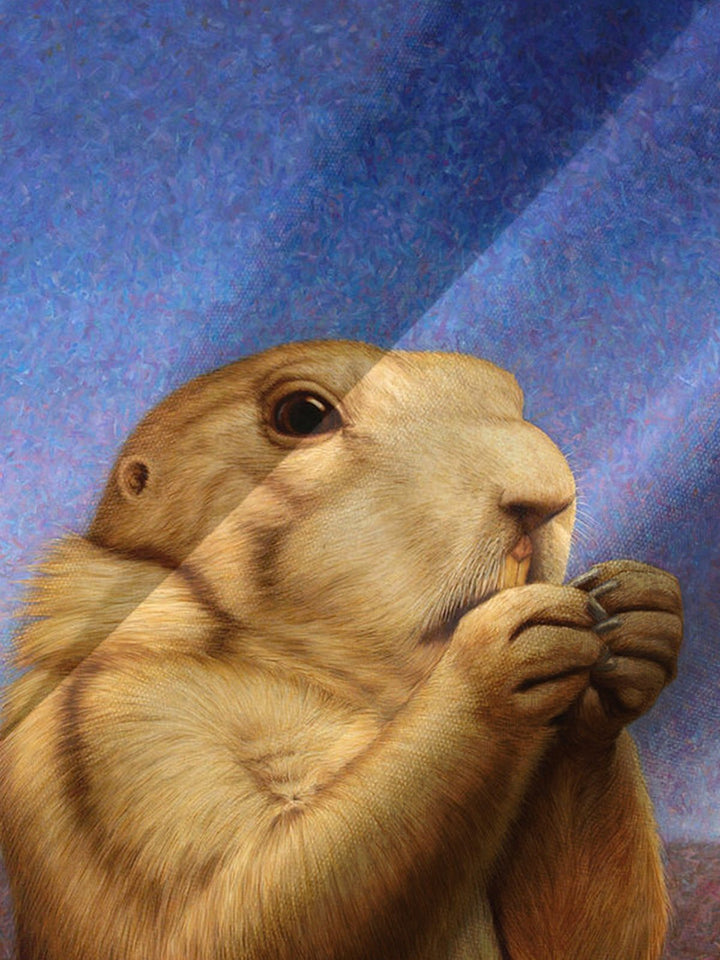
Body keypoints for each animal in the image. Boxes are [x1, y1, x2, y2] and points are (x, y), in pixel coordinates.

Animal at [0, 340, 682, 960]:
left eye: (513, 396)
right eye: (304, 416)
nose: (547, 496)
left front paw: (642, 609)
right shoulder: (110, 732)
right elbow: (219, 919)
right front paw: (499, 653)